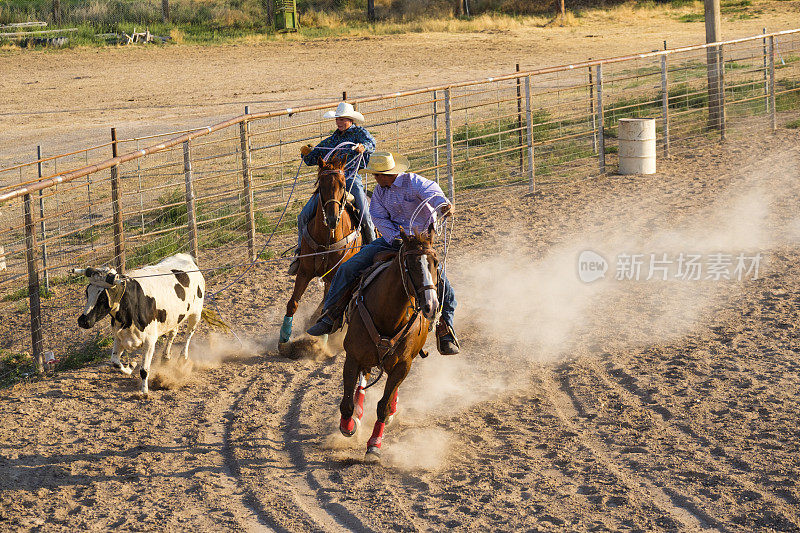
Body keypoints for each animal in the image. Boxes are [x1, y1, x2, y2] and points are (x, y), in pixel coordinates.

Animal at [74, 254, 205, 394]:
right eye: (87, 292)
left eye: (103, 297)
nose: (83, 321)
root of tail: (185, 257)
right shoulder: (119, 337)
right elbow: (115, 362)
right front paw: (131, 366)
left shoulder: (149, 341)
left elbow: (144, 370)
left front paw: (144, 392)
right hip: (174, 317)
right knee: (173, 333)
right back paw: (165, 357)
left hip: (196, 314)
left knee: (188, 334)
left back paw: (182, 356)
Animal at [278, 154, 360, 344]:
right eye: (321, 185)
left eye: (343, 185)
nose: (332, 219)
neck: (326, 240)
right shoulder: (304, 272)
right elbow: (293, 303)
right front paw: (284, 336)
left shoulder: (335, 275)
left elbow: (327, 306)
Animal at [336, 227, 440, 460]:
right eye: (410, 264)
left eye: (436, 262)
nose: (431, 305)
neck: (387, 314)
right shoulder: (353, 356)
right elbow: (346, 401)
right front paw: (348, 426)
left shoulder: (403, 365)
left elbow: (383, 406)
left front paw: (374, 444)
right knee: (363, 380)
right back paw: (358, 413)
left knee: (390, 391)